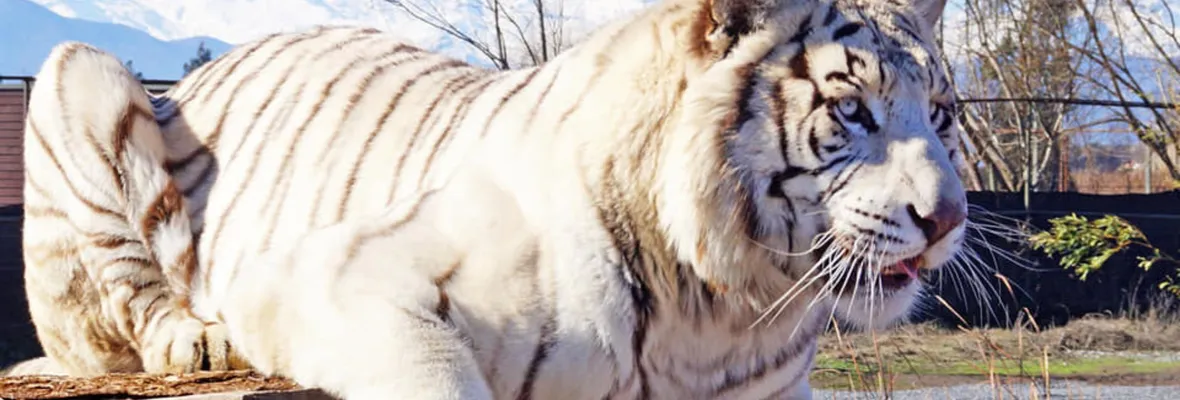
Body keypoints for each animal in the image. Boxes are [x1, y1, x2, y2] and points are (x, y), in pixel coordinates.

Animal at [12, 0, 970, 397]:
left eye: (944, 115)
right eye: (852, 109)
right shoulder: (336, 273)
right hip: (75, 73)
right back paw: (200, 342)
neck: (723, 313)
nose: (948, 218)